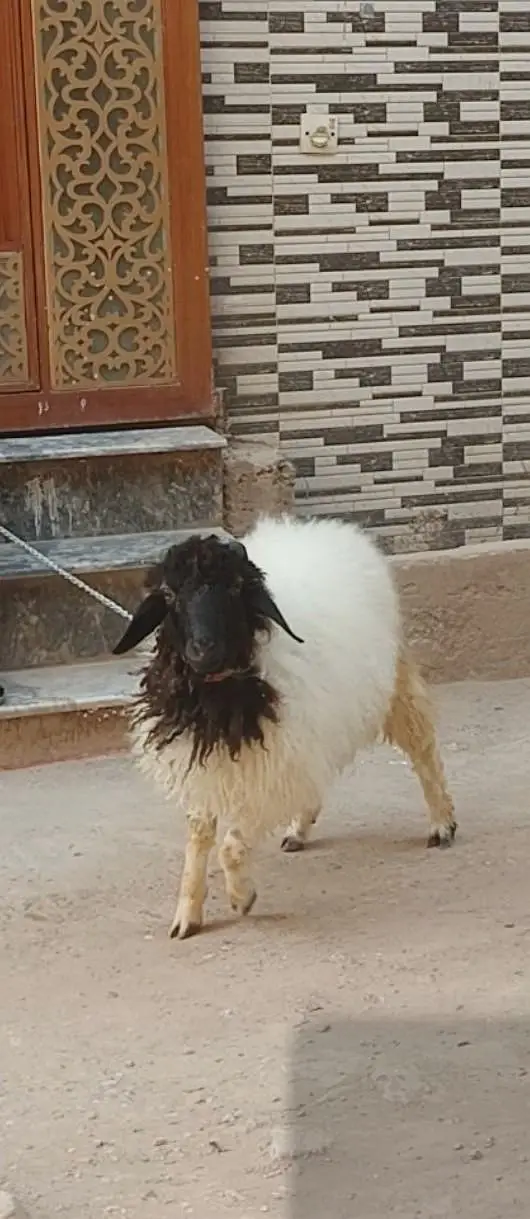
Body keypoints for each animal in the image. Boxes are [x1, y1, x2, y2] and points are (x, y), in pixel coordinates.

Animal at [113, 515, 456, 940]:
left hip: (393, 684)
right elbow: (200, 837)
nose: (203, 649)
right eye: (170, 594)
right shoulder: (210, 764)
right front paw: (187, 914)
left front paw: (242, 898)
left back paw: (441, 823)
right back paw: (298, 831)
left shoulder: (270, 770)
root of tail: (320, 528)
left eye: (236, 587)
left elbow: (231, 844)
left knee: (424, 749)